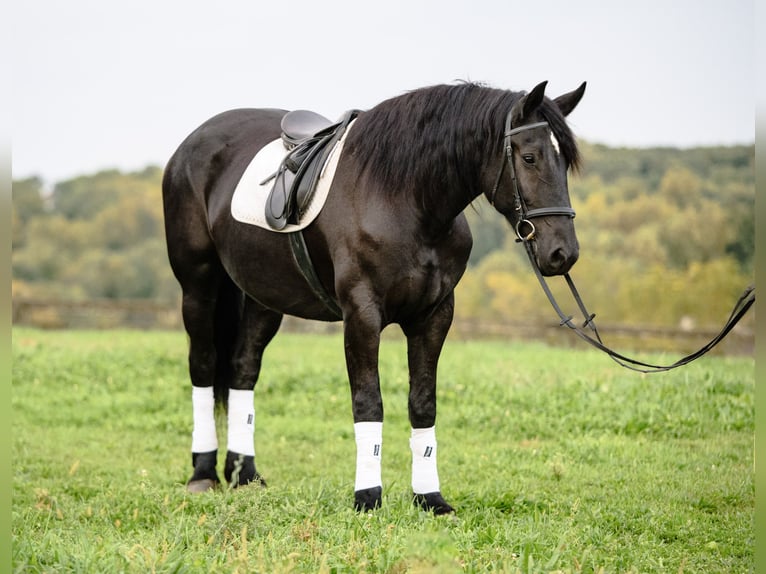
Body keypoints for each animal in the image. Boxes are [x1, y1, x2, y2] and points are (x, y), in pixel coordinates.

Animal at [162, 80, 586, 513]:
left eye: (565, 162)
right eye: (530, 157)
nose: (562, 253)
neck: (404, 199)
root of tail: (194, 142)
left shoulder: (434, 316)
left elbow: (423, 403)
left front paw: (429, 498)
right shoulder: (362, 315)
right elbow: (369, 402)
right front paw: (367, 497)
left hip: (264, 297)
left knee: (242, 370)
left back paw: (244, 475)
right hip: (198, 285)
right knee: (203, 365)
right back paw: (203, 473)